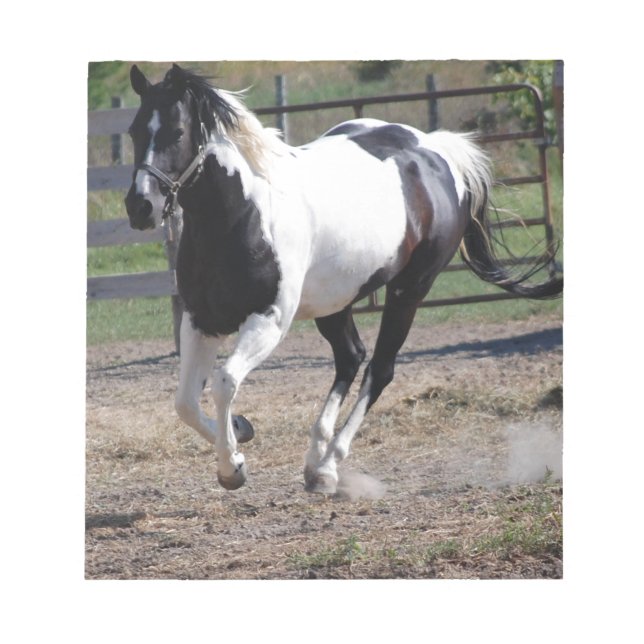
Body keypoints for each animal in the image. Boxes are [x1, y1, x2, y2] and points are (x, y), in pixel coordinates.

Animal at [124, 64, 562, 493]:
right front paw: (240, 430)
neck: (242, 215)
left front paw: (232, 467)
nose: (140, 206)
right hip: (335, 301)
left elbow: (224, 381)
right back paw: (315, 460)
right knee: (351, 357)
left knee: (379, 369)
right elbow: (184, 402)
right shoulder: (201, 320)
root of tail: (435, 151)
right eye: (133, 131)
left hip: (408, 290)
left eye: (177, 131)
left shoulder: (268, 321)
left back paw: (329, 466)